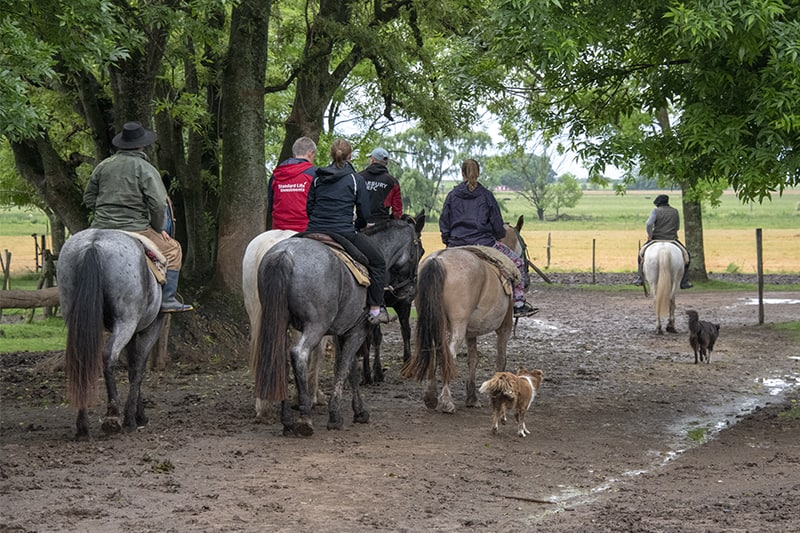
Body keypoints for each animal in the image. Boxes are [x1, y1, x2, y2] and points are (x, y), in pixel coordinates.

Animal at [57, 227, 166, 438]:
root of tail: (93, 243)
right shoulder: (149, 329)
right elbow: (137, 370)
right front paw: (133, 418)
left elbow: (133, 369)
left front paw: (138, 414)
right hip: (126, 322)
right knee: (108, 357)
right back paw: (113, 415)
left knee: (81, 361)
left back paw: (83, 426)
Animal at [360, 211, 428, 382]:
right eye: (422, 251)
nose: (412, 290)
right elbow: (375, 337)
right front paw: (375, 372)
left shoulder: (403, 303)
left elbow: (406, 331)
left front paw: (407, 363)